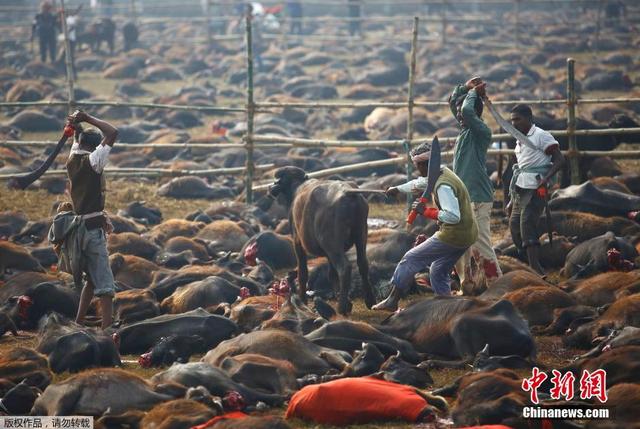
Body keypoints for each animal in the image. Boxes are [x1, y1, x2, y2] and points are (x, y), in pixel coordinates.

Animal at [268, 167, 376, 314]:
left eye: (277, 180)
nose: (270, 187)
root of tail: (348, 193)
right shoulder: (328, 253)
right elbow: (331, 274)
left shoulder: (297, 242)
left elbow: (303, 272)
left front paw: (302, 301)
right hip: (360, 235)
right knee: (362, 264)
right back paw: (370, 301)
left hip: (332, 244)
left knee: (344, 268)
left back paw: (342, 306)